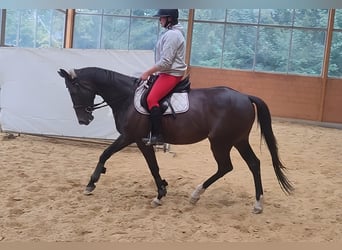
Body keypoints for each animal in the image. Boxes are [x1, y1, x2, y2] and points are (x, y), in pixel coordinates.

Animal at [57, 66, 292, 213]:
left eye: (74, 90)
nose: (84, 120)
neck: (126, 97)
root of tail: (245, 96)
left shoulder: (130, 137)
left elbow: (107, 154)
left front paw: (91, 184)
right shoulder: (139, 140)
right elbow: (153, 166)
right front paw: (162, 189)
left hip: (220, 142)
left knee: (226, 166)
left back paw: (197, 194)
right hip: (238, 140)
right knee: (253, 164)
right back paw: (257, 203)